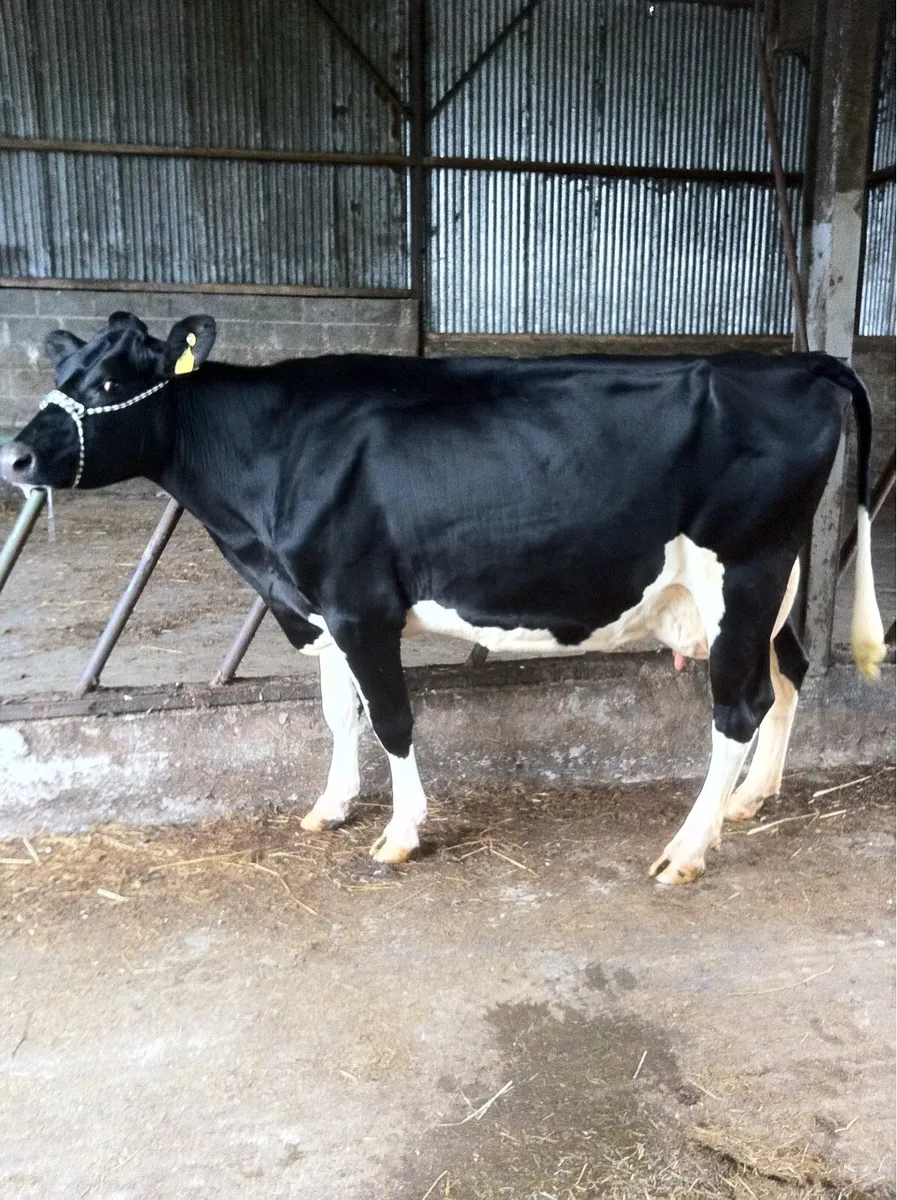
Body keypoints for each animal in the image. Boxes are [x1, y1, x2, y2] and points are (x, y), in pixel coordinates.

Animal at [0, 313, 885, 883]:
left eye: (109, 379)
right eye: (61, 375)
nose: (15, 456)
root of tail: (797, 362)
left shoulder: (360, 605)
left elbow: (392, 719)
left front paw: (399, 833)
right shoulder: (316, 605)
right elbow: (338, 713)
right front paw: (331, 805)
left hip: (745, 570)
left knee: (736, 709)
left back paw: (686, 849)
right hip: (777, 581)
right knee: (788, 672)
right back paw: (751, 799)